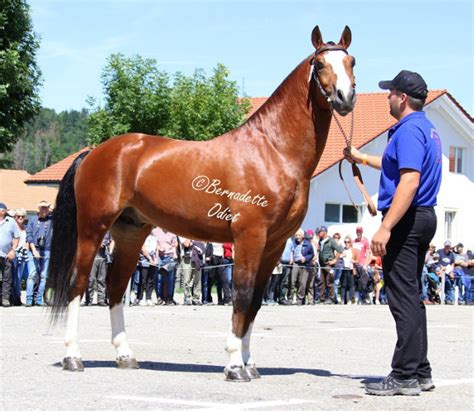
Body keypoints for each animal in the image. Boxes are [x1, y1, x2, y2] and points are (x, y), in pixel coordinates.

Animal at [47, 24, 356, 382]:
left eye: (351, 61)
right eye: (319, 64)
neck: (273, 150)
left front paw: (250, 363)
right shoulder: (249, 236)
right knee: (77, 283)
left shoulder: (275, 244)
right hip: (92, 228)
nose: (345, 98)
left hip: (131, 232)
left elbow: (256, 302)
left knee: (115, 286)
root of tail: (94, 152)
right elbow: (242, 295)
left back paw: (125, 355)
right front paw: (235, 365)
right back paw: (73, 357)